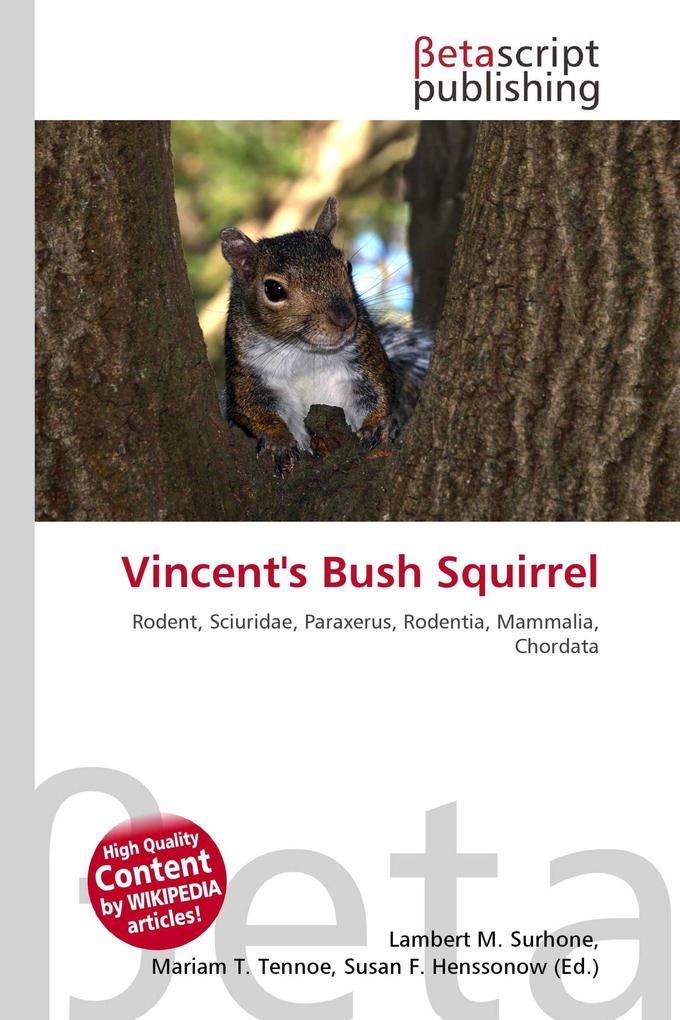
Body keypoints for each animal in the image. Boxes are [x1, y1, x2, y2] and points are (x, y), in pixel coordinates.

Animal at [219, 197, 431, 475]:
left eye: (348, 267)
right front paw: (277, 441)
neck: (304, 353)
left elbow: (379, 390)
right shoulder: (247, 373)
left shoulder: (365, 355)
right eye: (273, 289)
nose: (345, 319)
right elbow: (252, 409)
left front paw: (379, 425)